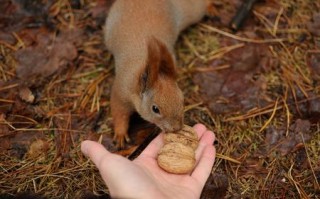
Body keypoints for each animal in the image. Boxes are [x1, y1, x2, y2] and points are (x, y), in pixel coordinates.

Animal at [105, 0, 209, 148]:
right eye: (155, 109)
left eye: (182, 99)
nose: (176, 128)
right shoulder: (120, 91)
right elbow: (118, 111)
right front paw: (120, 134)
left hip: (192, 12)